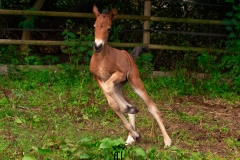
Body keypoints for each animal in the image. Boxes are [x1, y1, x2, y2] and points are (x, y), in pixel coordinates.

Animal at [89, 5, 172, 146]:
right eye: (94, 26)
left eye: (109, 28)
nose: (97, 46)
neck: (101, 59)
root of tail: (130, 56)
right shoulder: (98, 78)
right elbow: (112, 103)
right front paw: (134, 130)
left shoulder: (120, 74)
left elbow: (111, 94)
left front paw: (129, 110)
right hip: (119, 87)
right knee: (124, 102)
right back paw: (131, 136)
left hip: (135, 81)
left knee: (152, 107)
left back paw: (167, 140)